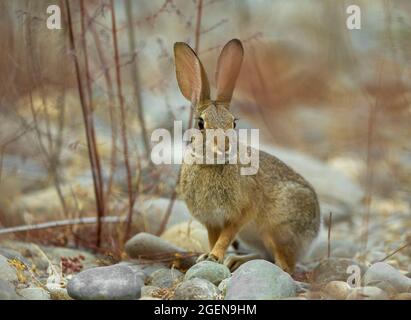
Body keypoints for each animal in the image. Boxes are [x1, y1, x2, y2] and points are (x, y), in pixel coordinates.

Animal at [174, 38, 322, 274]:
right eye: (200, 123)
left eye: (233, 123)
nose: (224, 146)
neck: (211, 165)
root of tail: (314, 233)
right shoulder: (211, 221)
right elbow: (214, 237)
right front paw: (208, 256)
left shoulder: (240, 214)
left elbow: (225, 236)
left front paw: (214, 256)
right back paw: (236, 261)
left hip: (275, 231)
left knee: (284, 265)